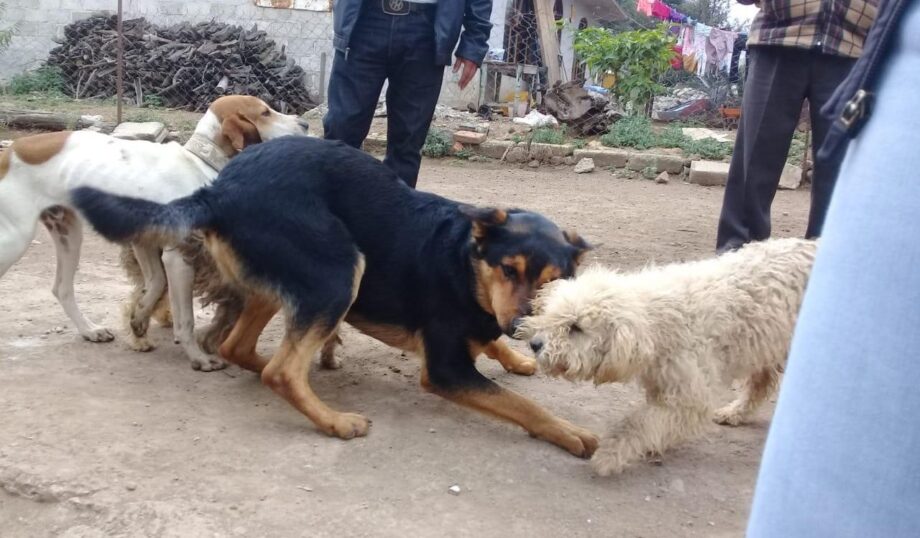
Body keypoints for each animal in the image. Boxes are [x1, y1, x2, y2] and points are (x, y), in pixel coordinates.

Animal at [0, 95, 310, 368]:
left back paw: (90, 330)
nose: (306, 124)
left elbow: (155, 283)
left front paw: (139, 320)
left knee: (62, 288)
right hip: (15, 240)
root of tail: (9, 151)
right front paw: (198, 358)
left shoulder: (145, 242)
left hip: (68, 234)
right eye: (265, 112)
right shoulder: (179, 257)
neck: (198, 161)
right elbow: (185, 319)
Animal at [75, 136, 600, 454]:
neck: (464, 261)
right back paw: (334, 420)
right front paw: (570, 432)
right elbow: (522, 405)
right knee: (281, 370)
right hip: (339, 270)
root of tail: (219, 187)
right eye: (508, 270)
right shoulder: (445, 369)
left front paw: (515, 357)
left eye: (551, 281)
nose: (521, 329)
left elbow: (490, 343)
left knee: (240, 348)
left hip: (289, 280)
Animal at [520, 238, 816, 474]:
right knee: (760, 385)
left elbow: (639, 424)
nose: (535, 344)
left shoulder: (689, 394)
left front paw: (611, 455)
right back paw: (735, 412)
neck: (656, 321)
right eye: (553, 317)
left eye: (576, 328)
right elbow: (655, 422)